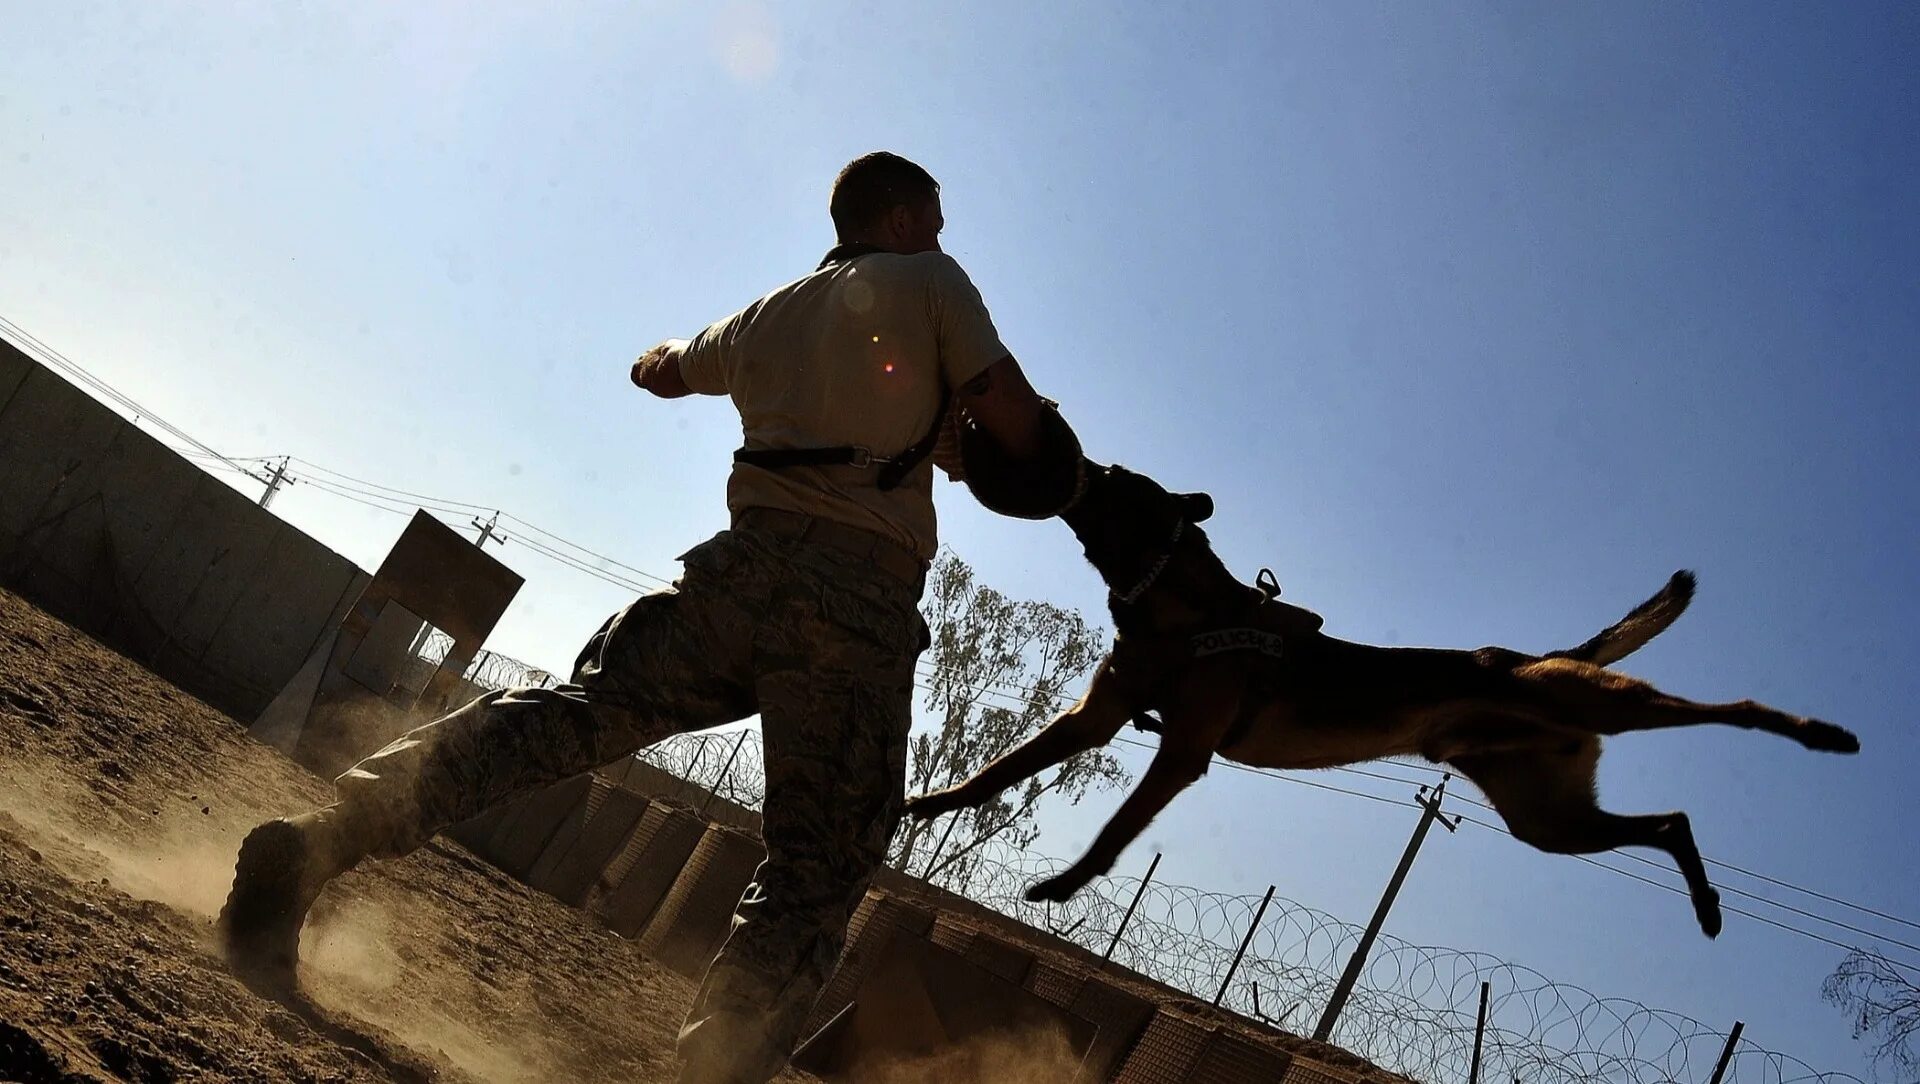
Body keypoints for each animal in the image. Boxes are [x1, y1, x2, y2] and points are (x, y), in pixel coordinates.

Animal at [906, 460, 1866, 932]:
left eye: (1111, 482)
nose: (1066, 451)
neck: (1182, 606)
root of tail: (1545, 659)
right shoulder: (1093, 720)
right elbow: (997, 773)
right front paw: (929, 801)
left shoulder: (1180, 752)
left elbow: (1114, 831)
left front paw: (1066, 885)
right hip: (1548, 819)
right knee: (1670, 821)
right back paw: (1705, 905)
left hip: (1599, 707)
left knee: (1726, 712)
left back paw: (1821, 732)